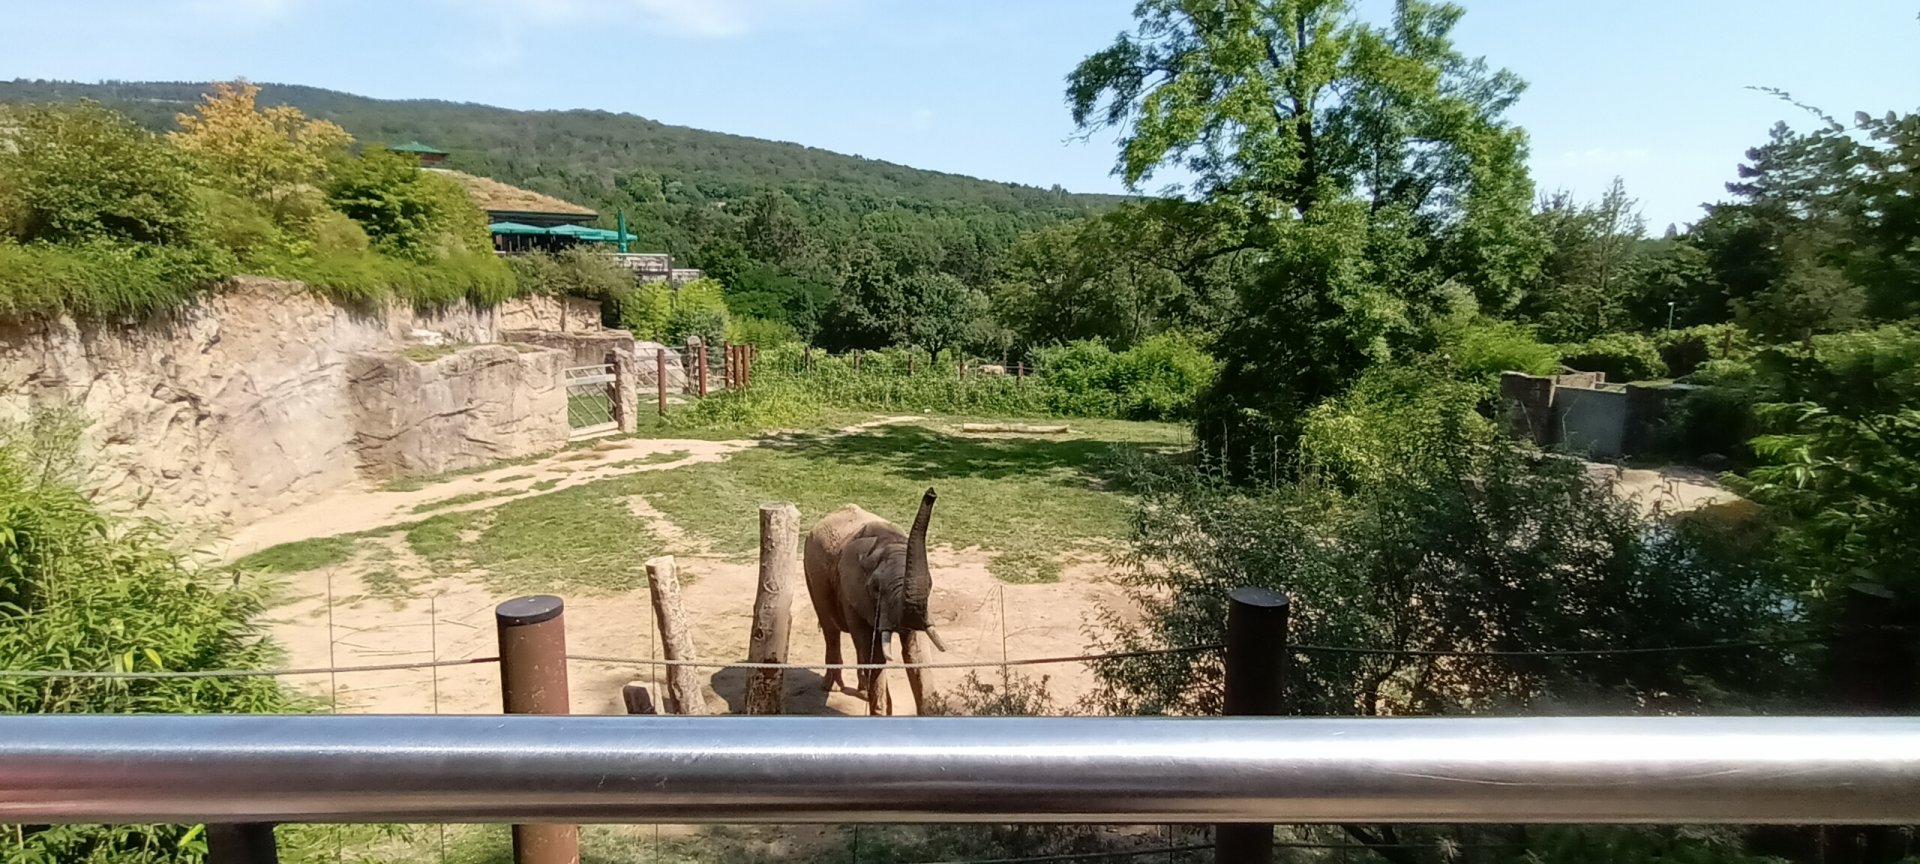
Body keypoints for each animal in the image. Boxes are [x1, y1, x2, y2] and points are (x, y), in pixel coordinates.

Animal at [803, 487, 948, 715]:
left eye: (930, 585)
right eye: (876, 589)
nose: (931, 492)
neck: (885, 541)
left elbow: (916, 654)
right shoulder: (850, 591)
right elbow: (875, 654)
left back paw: (862, 691)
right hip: (812, 574)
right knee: (831, 630)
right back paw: (832, 687)